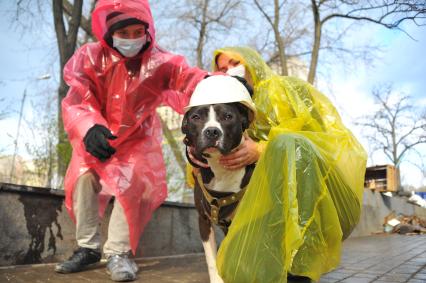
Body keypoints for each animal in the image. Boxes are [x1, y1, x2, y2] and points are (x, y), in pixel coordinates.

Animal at [181, 75, 255, 283]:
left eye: (228, 116)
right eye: (196, 117)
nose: (212, 131)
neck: (220, 168)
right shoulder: (203, 221)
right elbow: (212, 260)